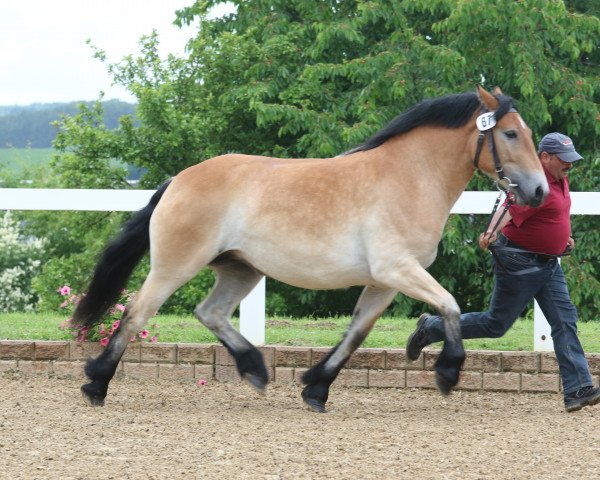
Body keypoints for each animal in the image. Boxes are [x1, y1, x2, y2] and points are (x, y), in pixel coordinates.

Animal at [72, 85, 548, 412]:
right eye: (510, 133)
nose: (539, 191)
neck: (409, 177)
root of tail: (178, 180)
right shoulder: (398, 269)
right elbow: (449, 305)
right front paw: (448, 373)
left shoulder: (385, 281)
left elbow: (357, 332)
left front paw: (316, 387)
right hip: (176, 265)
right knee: (137, 312)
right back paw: (95, 383)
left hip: (241, 269)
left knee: (210, 313)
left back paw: (255, 370)